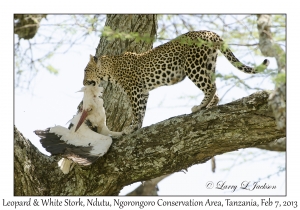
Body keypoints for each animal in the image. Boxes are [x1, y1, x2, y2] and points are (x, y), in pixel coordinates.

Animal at [82, 30, 270, 134]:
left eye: (85, 71)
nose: (83, 82)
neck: (110, 69)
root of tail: (210, 32)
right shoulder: (143, 91)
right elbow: (141, 111)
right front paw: (137, 127)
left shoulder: (134, 90)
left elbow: (136, 110)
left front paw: (131, 127)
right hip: (208, 64)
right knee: (215, 89)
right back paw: (208, 106)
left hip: (194, 66)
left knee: (211, 87)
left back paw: (200, 107)